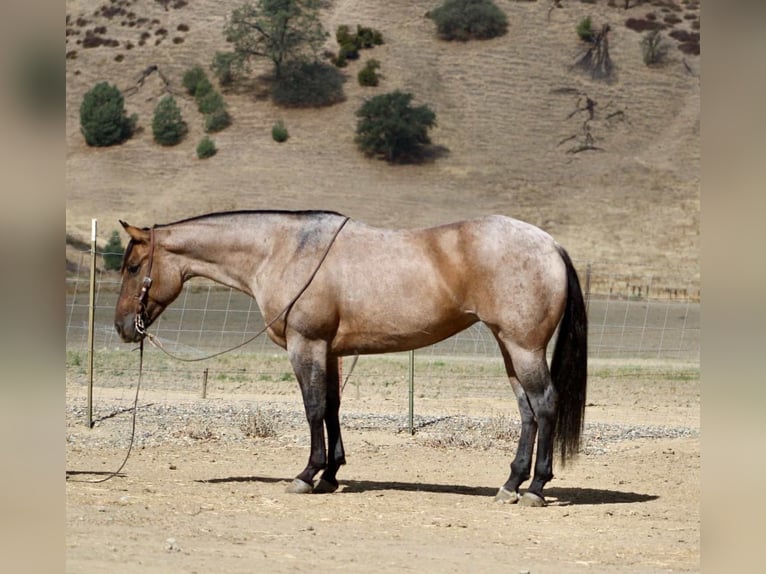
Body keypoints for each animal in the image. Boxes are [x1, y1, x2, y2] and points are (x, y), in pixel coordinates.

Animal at [114, 210, 587, 506]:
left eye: (134, 268)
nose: (122, 327)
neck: (283, 249)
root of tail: (551, 245)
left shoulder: (305, 345)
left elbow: (312, 408)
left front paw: (307, 475)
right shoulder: (330, 350)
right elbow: (332, 408)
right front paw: (330, 475)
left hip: (524, 348)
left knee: (545, 404)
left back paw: (535, 488)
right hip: (508, 348)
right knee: (527, 412)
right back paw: (510, 484)